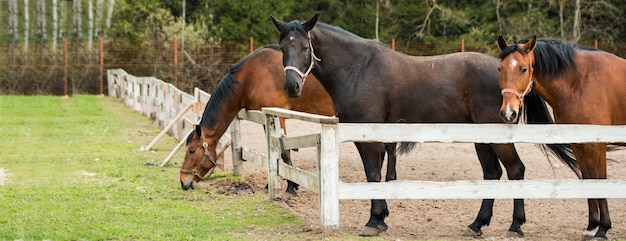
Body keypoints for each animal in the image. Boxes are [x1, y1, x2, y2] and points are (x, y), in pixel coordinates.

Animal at [178, 45, 398, 194]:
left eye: (192, 150)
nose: (183, 181)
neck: (251, 75)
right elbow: (273, 151)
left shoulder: (278, 115)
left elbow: (283, 151)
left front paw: (291, 186)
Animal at [270, 14, 576, 237]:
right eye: (283, 48)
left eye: (305, 47)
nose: (292, 87)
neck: (358, 68)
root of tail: (506, 74)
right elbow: (378, 174)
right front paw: (382, 218)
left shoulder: (368, 135)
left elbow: (372, 175)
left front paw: (374, 221)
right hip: (480, 137)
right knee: (492, 173)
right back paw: (477, 224)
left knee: (515, 170)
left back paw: (515, 225)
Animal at [498, 35, 626, 239]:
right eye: (500, 68)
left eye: (523, 69)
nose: (508, 113)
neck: (581, 82)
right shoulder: (578, 143)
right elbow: (588, 178)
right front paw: (592, 226)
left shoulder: (596, 145)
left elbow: (599, 179)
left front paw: (603, 228)